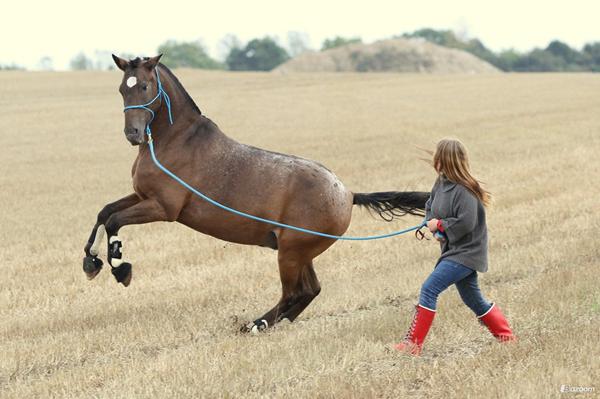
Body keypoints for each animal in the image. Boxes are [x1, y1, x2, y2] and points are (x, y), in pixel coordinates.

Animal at [83, 54, 432, 332]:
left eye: (144, 86)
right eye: (122, 88)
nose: (133, 134)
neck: (174, 141)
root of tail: (347, 194)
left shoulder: (163, 209)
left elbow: (114, 221)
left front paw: (119, 266)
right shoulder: (142, 197)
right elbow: (104, 212)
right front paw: (91, 262)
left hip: (290, 252)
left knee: (295, 292)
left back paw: (255, 324)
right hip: (299, 251)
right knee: (310, 290)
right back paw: (269, 323)